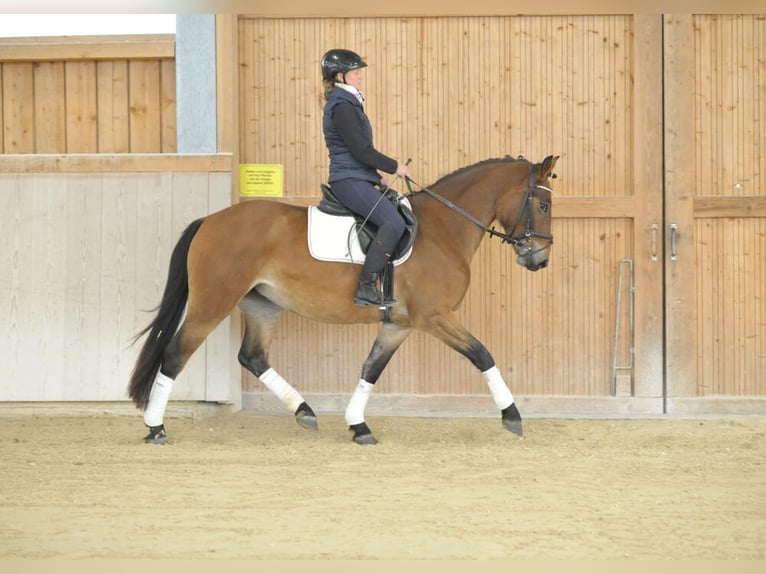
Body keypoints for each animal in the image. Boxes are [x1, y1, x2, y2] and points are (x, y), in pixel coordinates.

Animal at [128, 154, 558, 445]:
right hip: (213, 302)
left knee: (253, 357)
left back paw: (304, 412)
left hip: (262, 304)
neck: (442, 230)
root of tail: (211, 220)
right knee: (175, 355)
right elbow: (483, 355)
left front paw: (358, 424)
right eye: (542, 205)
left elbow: (371, 369)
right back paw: (155, 428)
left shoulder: (398, 325)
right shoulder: (435, 317)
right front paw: (512, 416)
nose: (539, 259)